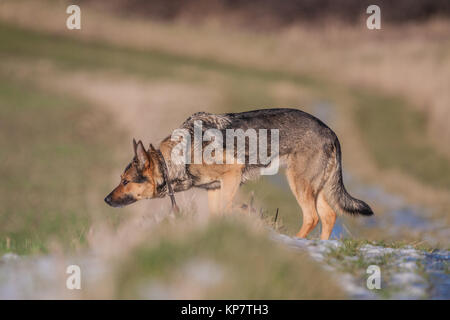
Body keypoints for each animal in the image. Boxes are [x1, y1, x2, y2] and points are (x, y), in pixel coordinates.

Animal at [105, 109, 372, 239]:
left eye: (125, 181)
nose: (106, 199)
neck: (176, 157)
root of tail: (331, 133)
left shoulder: (232, 173)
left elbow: (229, 207)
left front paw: (246, 213)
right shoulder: (215, 188)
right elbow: (218, 213)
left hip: (298, 183)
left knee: (312, 217)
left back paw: (297, 241)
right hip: (315, 187)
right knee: (329, 216)